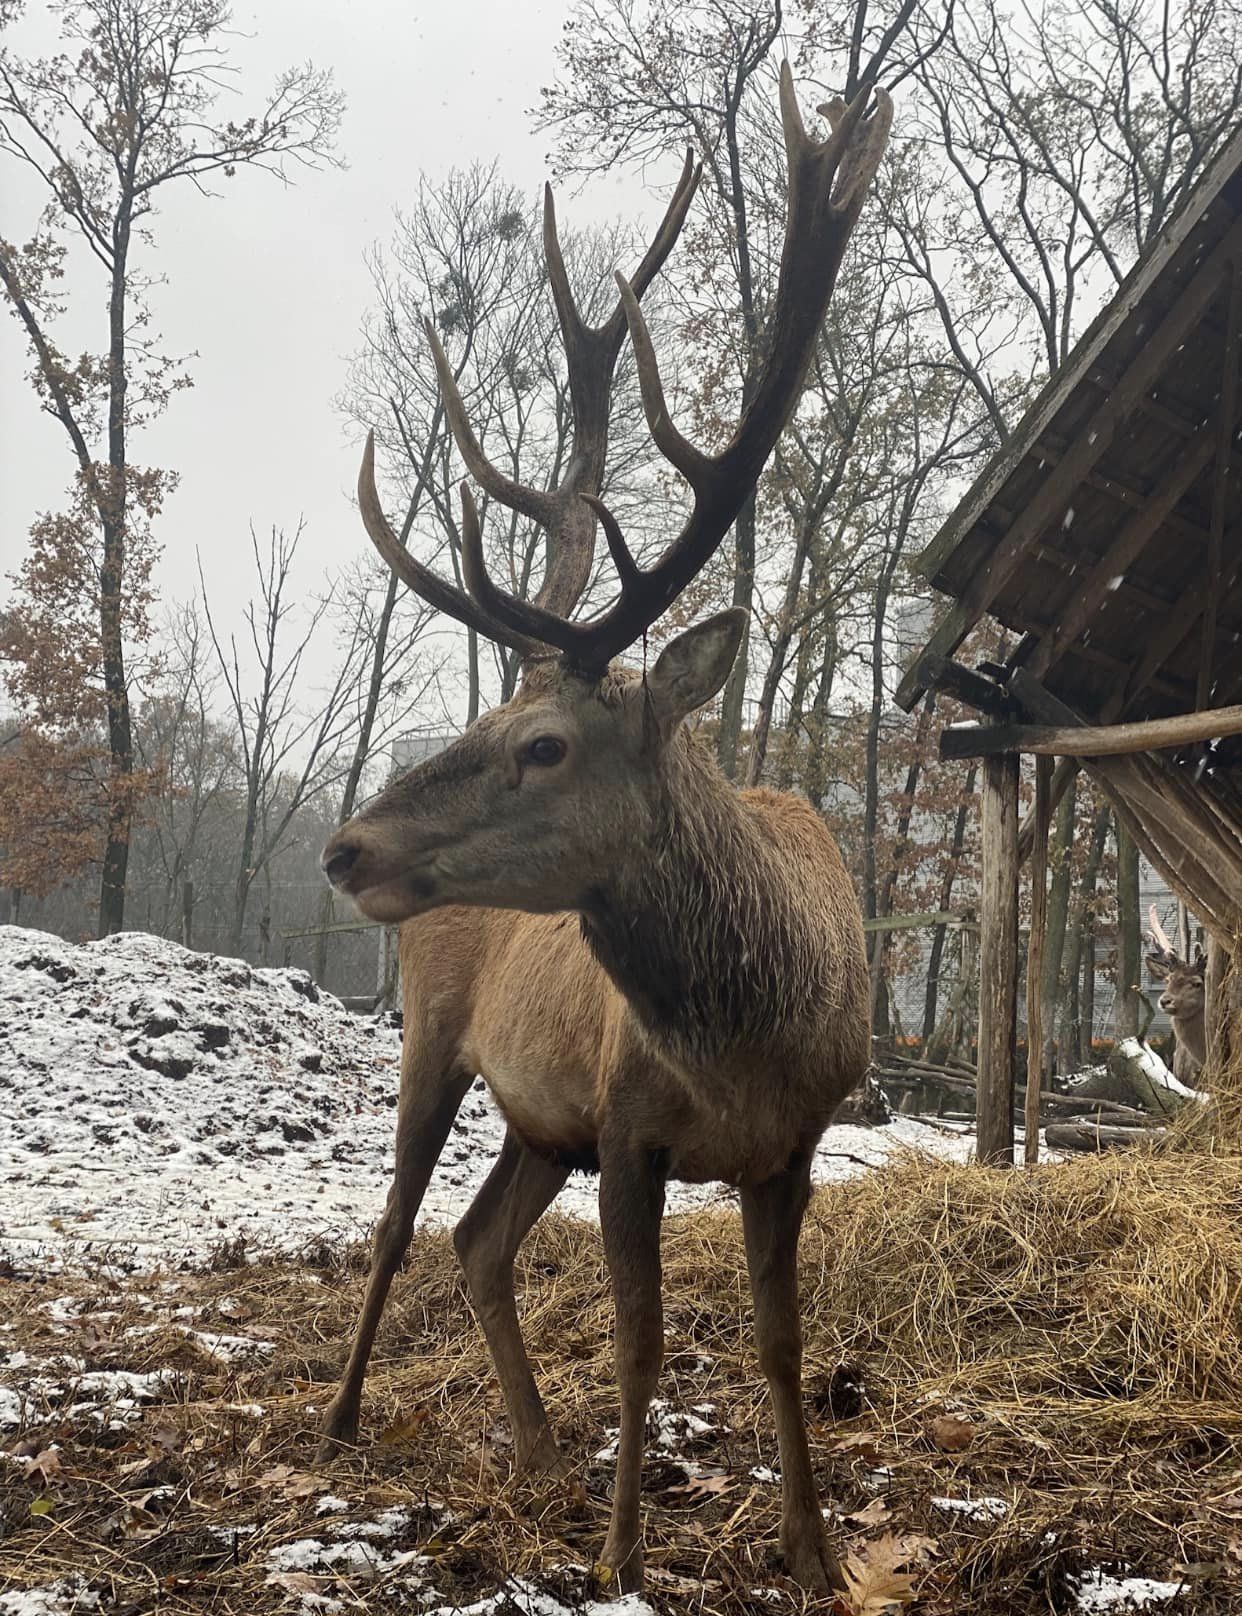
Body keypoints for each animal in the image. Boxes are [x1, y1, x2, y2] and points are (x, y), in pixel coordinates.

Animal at [314, 63, 885, 1590]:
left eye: (544, 744)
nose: (345, 846)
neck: (749, 1033)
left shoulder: (793, 1147)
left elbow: (779, 1343)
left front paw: (815, 1553)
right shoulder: (630, 1131)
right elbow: (638, 1344)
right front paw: (628, 1560)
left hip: (540, 1119)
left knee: (476, 1240)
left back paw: (534, 1445)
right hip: (437, 1040)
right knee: (398, 1220)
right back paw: (345, 1415)